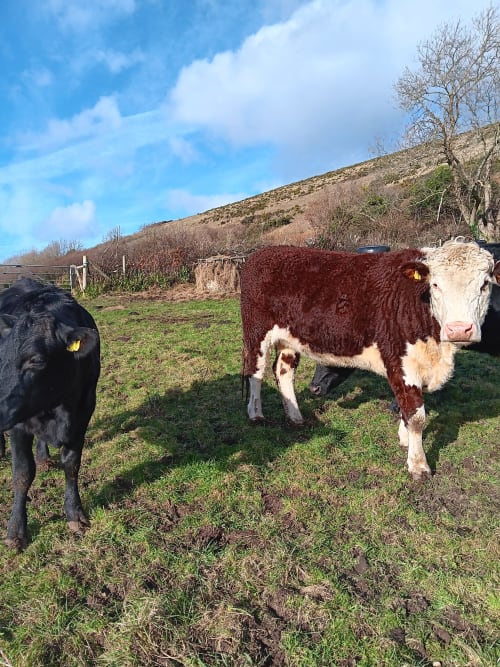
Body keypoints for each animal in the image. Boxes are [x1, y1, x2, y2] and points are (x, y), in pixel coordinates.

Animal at [0, 278, 100, 550]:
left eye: (36, 360)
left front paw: (74, 513)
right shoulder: (18, 424)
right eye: (1, 357)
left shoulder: (84, 410)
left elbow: (71, 464)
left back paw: (44, 457)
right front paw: (16, 531)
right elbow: (22, 473)